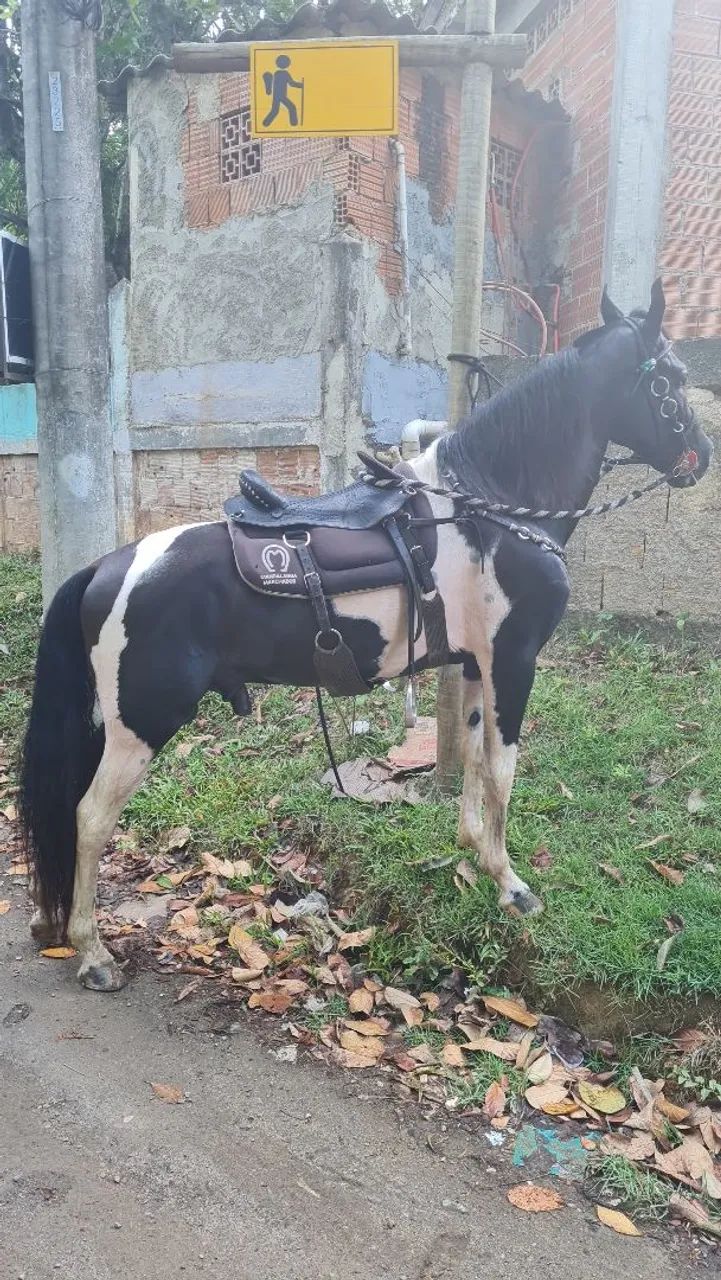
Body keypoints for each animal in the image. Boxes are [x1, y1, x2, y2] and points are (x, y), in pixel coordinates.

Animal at [19, 282, 712, 992]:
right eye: (672, 377)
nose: (700, 457)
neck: (492, 511)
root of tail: (105, 566)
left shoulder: (473, 665)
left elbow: (473, 760)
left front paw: (472, 857)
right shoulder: (513, 662)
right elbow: (502, 770)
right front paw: (511, 885)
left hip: (109, 722)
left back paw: (56, 926)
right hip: (141, 724)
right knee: (89, 817)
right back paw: (93, 952)